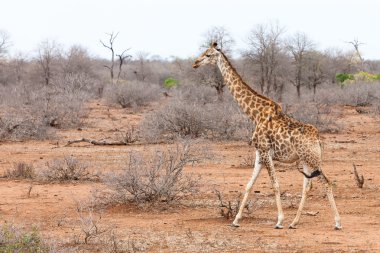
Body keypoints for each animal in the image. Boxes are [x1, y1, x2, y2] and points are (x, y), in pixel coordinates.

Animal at [193, 43, 342, 229]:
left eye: (208, 55)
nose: (195, 63)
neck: (254, 114)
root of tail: (317, 138)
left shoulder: (265, 151)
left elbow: (275, 185)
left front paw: (279, 221)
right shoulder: (259, 153)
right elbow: (249, 185)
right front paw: (236, 220)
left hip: (312, 159)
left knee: (327, 183)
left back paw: (337, 222)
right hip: (306, 161)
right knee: (307, 186)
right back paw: (294, 222)